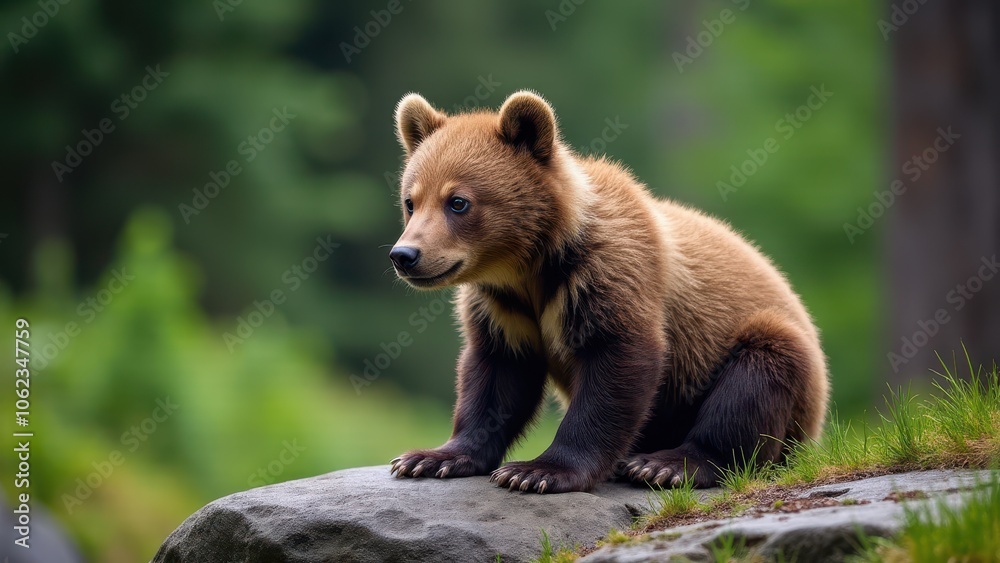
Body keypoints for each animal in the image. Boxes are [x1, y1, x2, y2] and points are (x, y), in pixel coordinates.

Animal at [387, 90, 829, 493]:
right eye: (411, 201)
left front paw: (537, 471)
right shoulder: (503, 307)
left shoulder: (608, 274)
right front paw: (430, 458)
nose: (405, 255)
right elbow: (495, 376)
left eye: (458, 202)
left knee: (758, 374)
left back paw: (666, 464)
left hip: (772, 357)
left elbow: (617, 366)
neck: (531, 268)